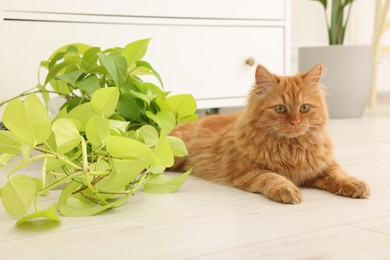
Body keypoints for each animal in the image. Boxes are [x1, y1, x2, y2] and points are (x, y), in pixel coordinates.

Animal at [171, 63, 368, 203]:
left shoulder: (324, 166)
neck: (291, 149)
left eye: (304, 108)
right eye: (280, 108)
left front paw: (355, 185)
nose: (295, 122)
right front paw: (288, 190)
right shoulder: (248, 171)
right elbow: (272, 177)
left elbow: (339, 175)